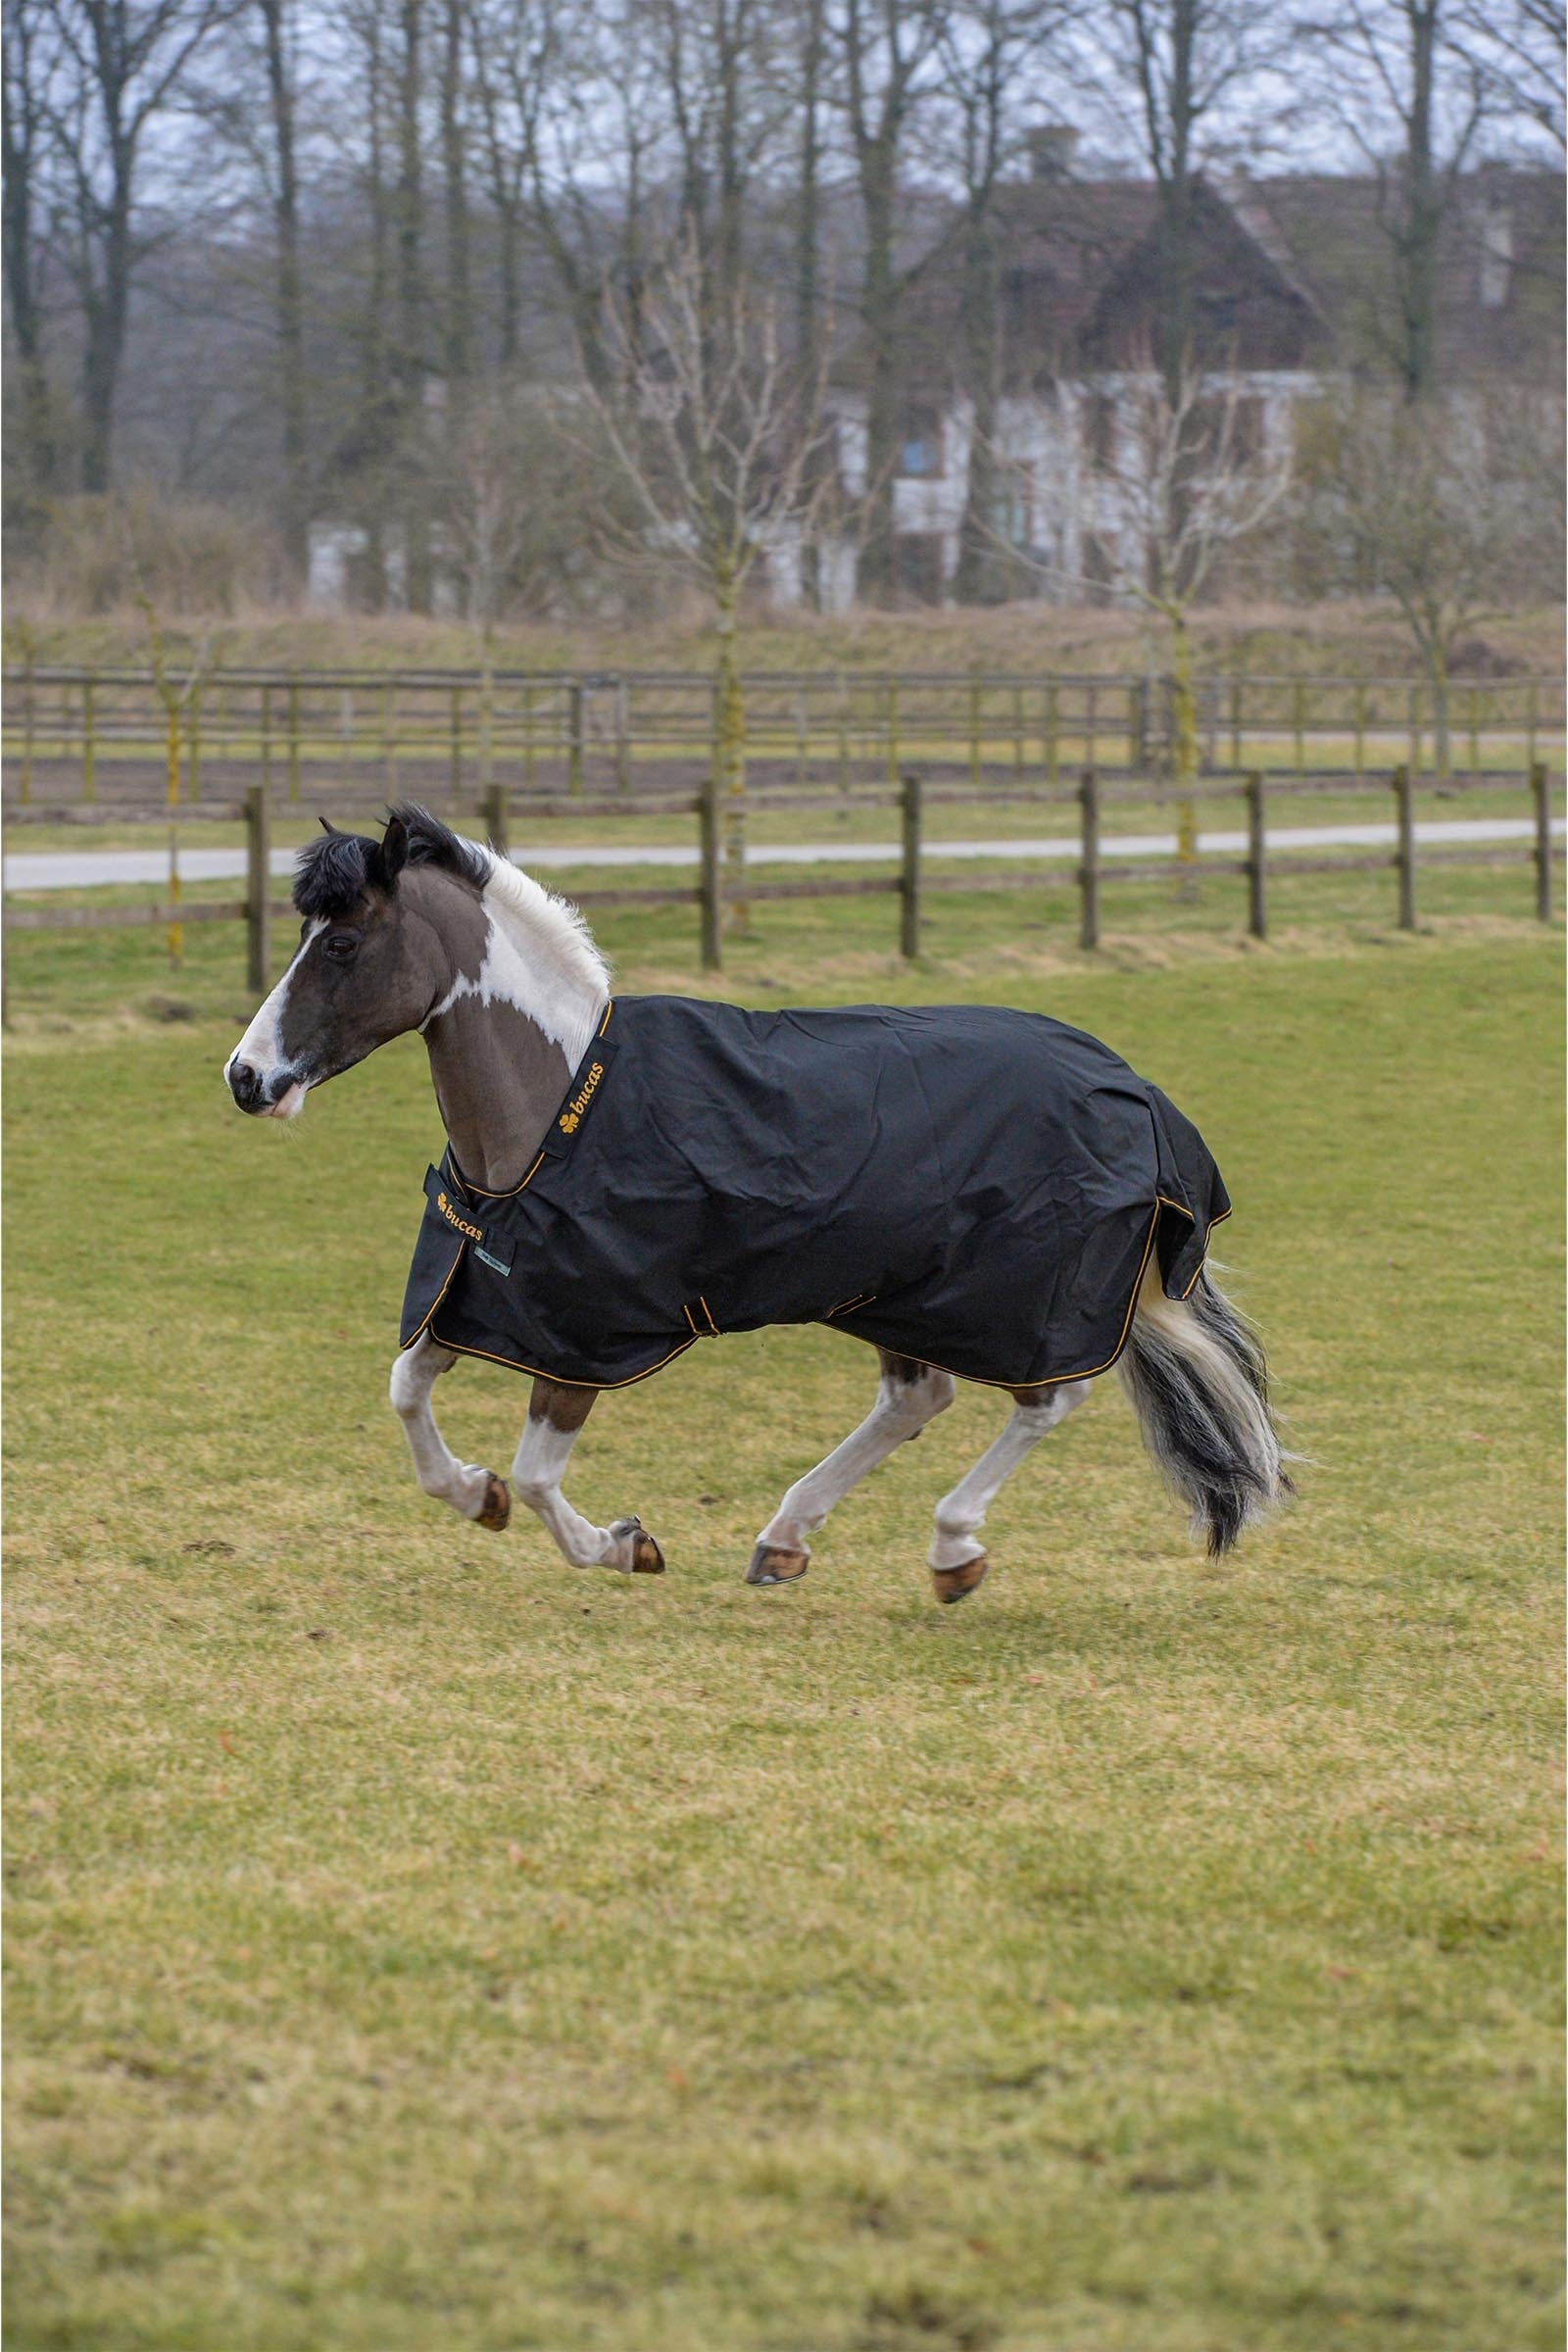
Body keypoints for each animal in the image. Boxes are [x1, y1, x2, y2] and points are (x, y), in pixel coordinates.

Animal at [224, 805, 1288, 1602]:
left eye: (343, 943)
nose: (246, 1079)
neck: (555, 1110)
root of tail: (1135, 1090)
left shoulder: (583, 1337)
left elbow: (535, 1475)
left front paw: (624, 1545)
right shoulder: (482, 1301)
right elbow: (407, 1394)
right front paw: (472, 1494)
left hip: (1014, 1303)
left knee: (1046, 1398)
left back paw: (952, 1548)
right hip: (899, 1293)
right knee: (918, 1398)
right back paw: (785, 1540)